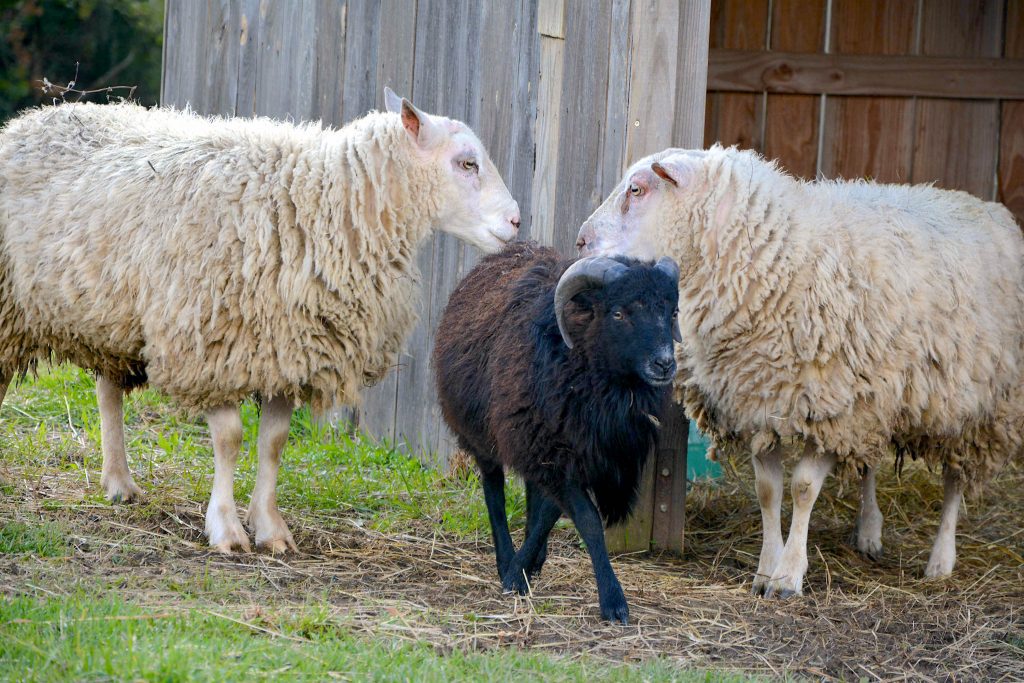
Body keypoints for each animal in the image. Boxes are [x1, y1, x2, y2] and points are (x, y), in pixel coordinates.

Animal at [0, 90, 521, 553]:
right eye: (467, 164)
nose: (516, 222)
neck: (321, 204)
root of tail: (34, 117)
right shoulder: (209, 348)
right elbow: (230, 439)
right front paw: (226, 529)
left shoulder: (290, 349)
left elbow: (273, 443)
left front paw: (270, 529)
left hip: (114, 317)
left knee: (107, 392)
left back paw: (119, 483)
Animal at [433, 241, 681, 623]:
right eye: (618, 314)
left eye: (672, 312)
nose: (664, 364)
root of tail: (506, 252)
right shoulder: (553, 451)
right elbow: (588, 521)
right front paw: (612, 600)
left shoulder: (569, 452)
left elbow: (548, 513)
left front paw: (525, 566)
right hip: (483, 433)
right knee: (494, 491)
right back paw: (505, 556)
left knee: (533, 494)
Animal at [576, 144, 1024, 597]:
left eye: (637, 189)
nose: (580, 240)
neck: (775, 259)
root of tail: (986, 205)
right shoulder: (758, 401)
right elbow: (768, 491)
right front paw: (764, 570)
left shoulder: (832, 407)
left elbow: (803, 488)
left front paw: (789, 575)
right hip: (878, 395)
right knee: (869, 461)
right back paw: (869, 531)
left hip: (981, 407)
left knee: (955, 480)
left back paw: (940, 560)